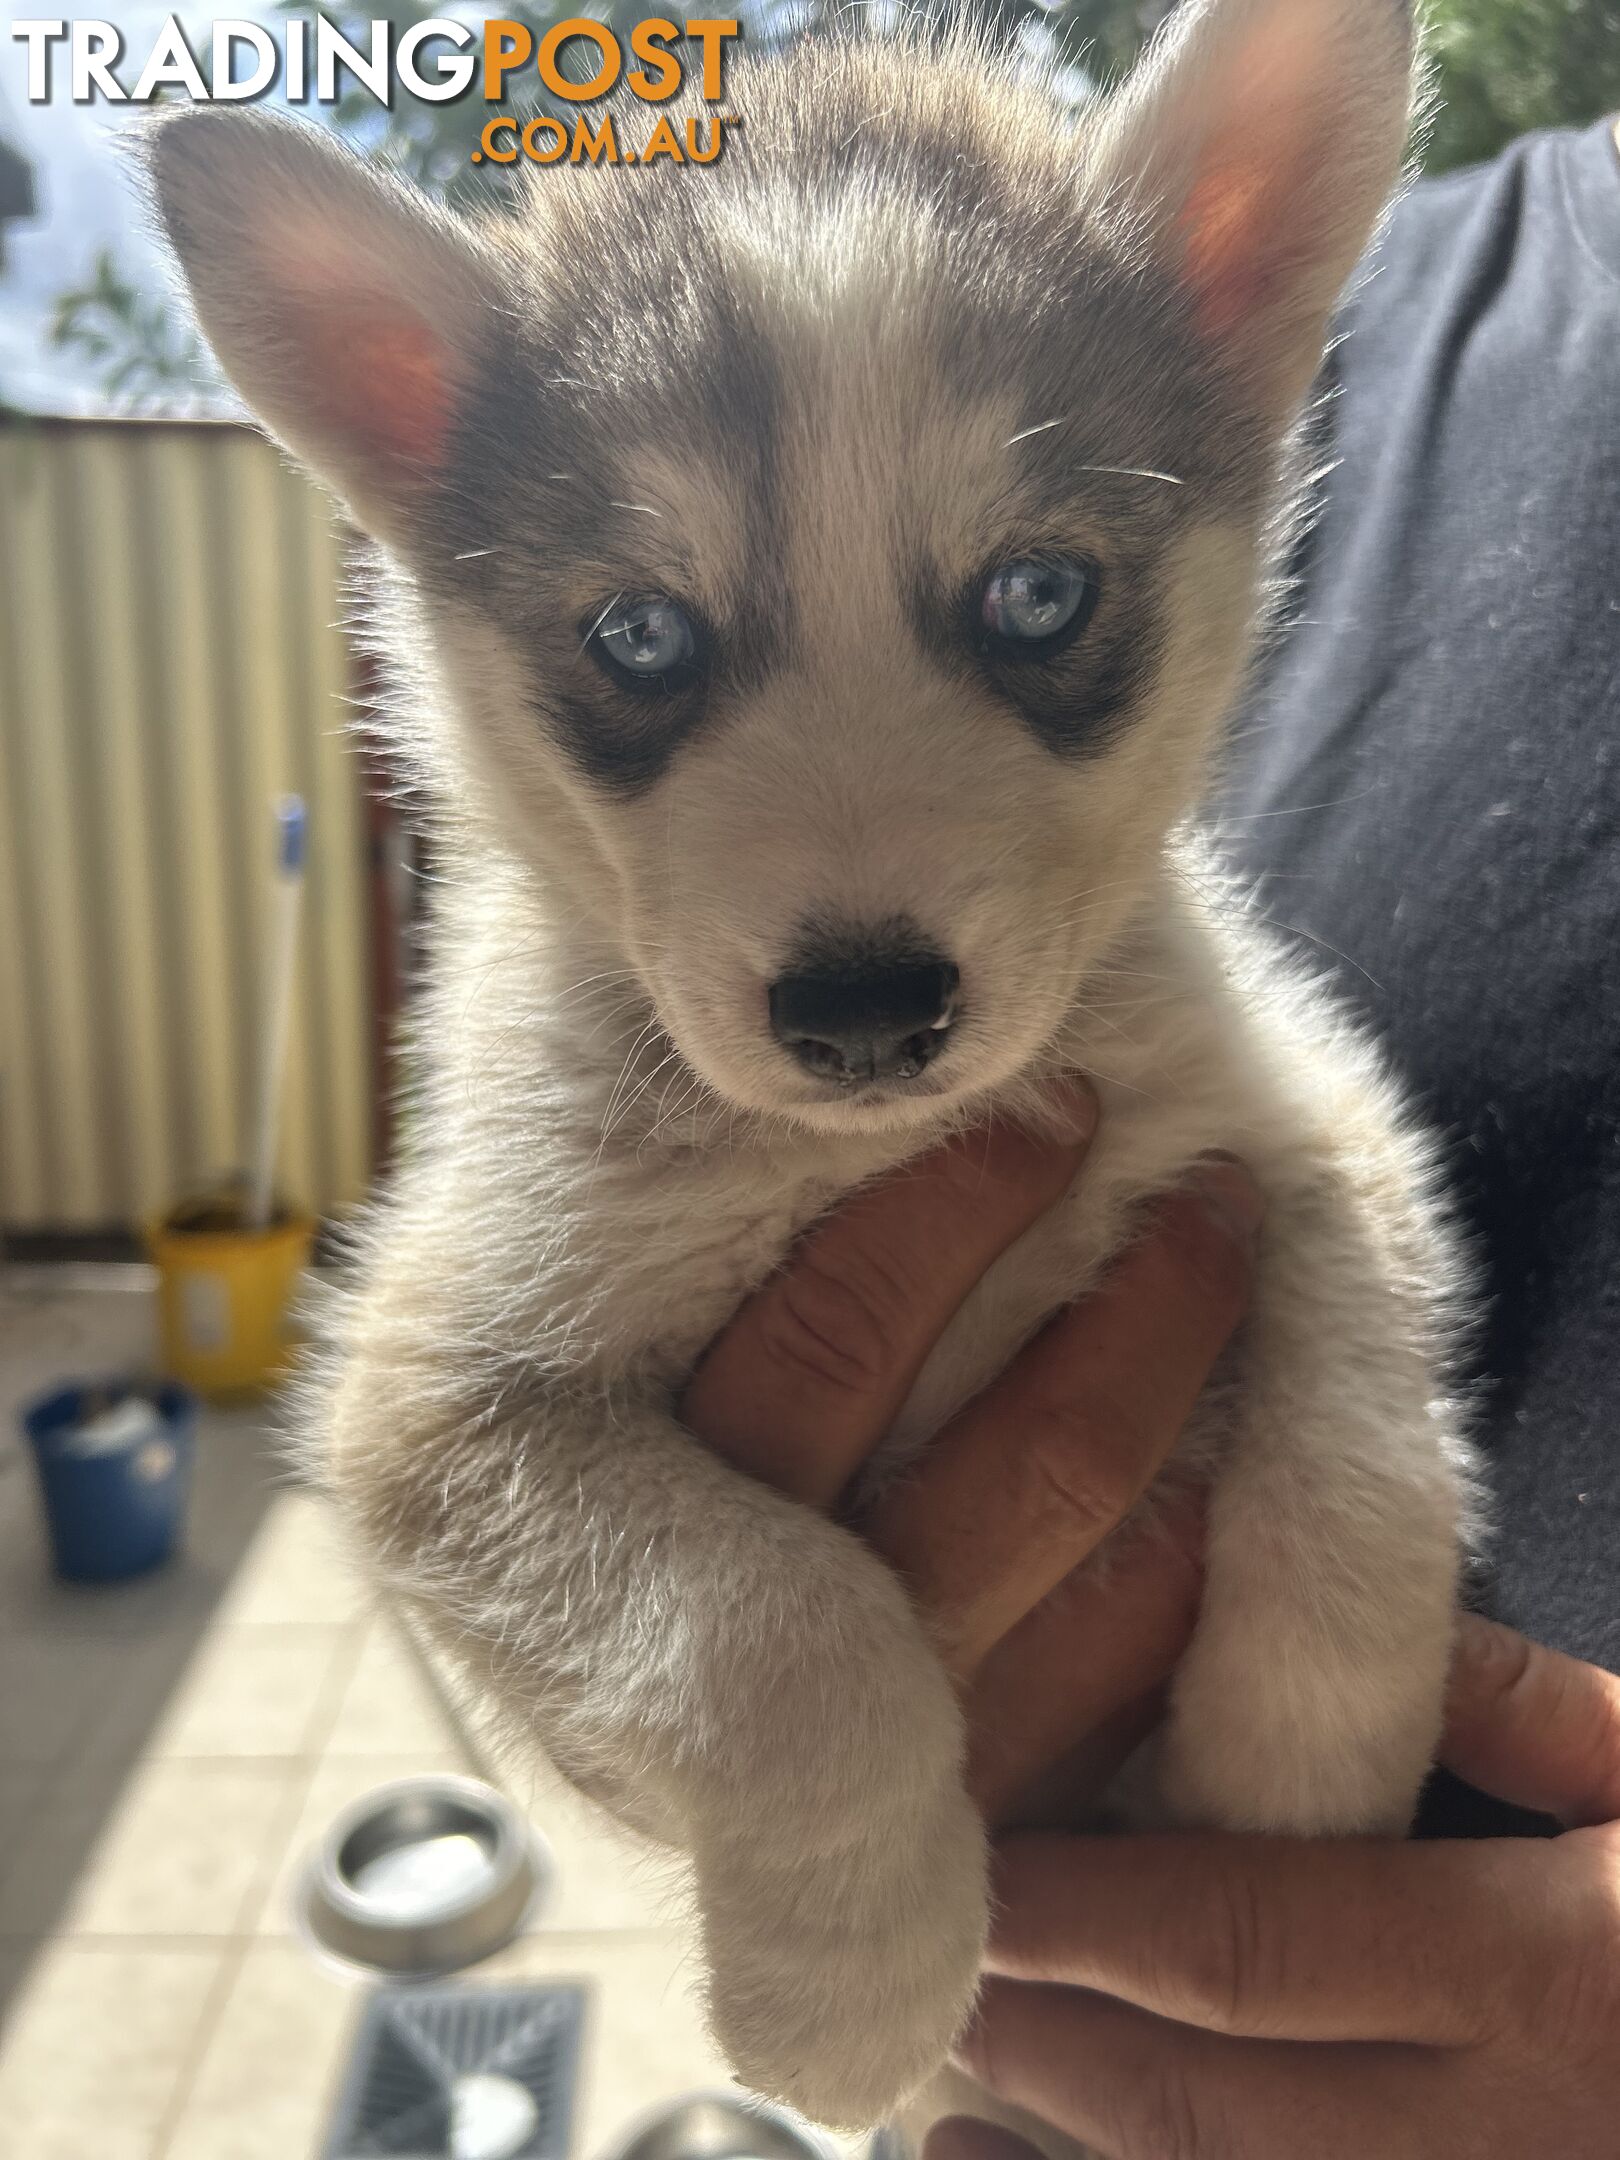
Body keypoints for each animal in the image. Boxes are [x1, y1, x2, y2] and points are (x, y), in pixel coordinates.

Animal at [149, 0, 1468, 2125]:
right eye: (639, 634)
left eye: (1039, 594)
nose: (864, 1010)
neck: (863, 1157)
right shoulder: (429, 1402)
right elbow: (784, 1631)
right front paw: (848, 1983)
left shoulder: (1302, 1136)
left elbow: (1359, 1454)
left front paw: (1299, 1787)